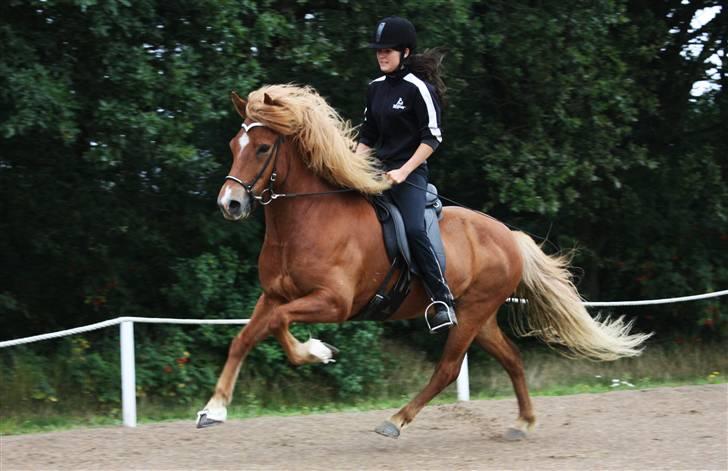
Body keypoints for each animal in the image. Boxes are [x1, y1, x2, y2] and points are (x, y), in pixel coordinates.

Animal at [196, 84, 652, 438]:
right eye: (234, 146)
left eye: (262, 148)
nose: (229, 204)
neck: (306, 221)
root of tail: (509, 236)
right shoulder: (273, 295)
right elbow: (245, 337)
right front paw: (213, 410)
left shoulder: (333, 302)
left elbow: (278, 325)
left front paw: (318, 352)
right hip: (480, 317)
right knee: (511, 359)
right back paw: (522, 422)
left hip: (471, 314)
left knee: (448, 369)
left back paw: (396, 421)